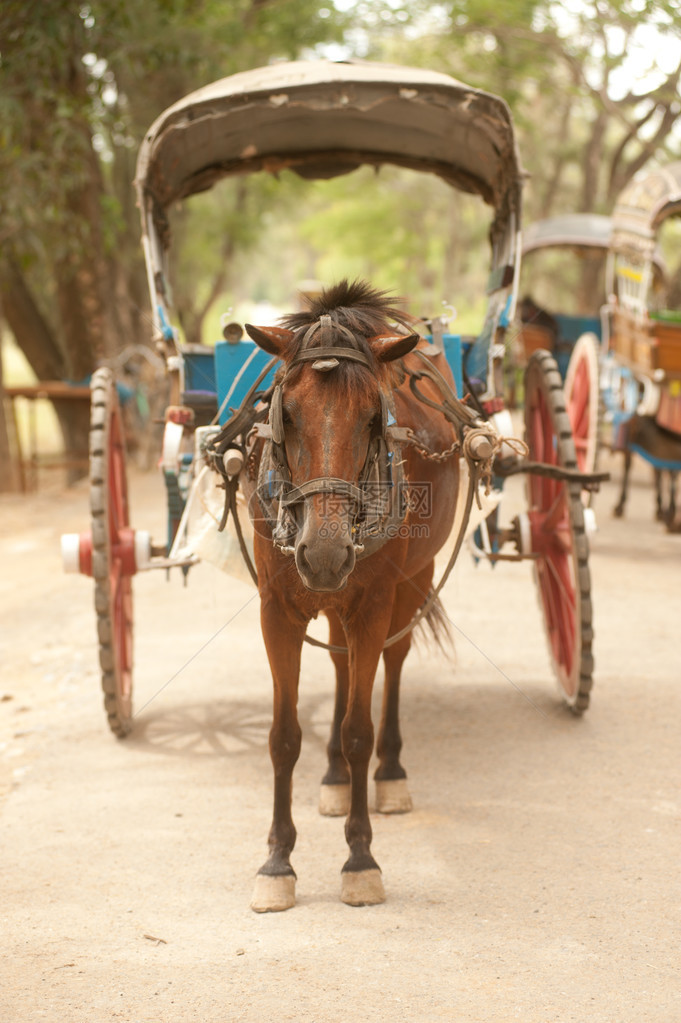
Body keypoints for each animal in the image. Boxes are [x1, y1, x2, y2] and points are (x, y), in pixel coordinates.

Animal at [241, 280, 458, 912]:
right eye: (285, 414)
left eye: (370, 419)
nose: (324, 552)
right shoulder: (276, 611)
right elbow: (284, 737)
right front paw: (277, 862)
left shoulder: (372, 605)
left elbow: (359, 730)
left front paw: (361, 859)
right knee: (340, 665)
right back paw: (335, 778)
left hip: (413, 581)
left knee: (392, 662)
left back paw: (389, 774)